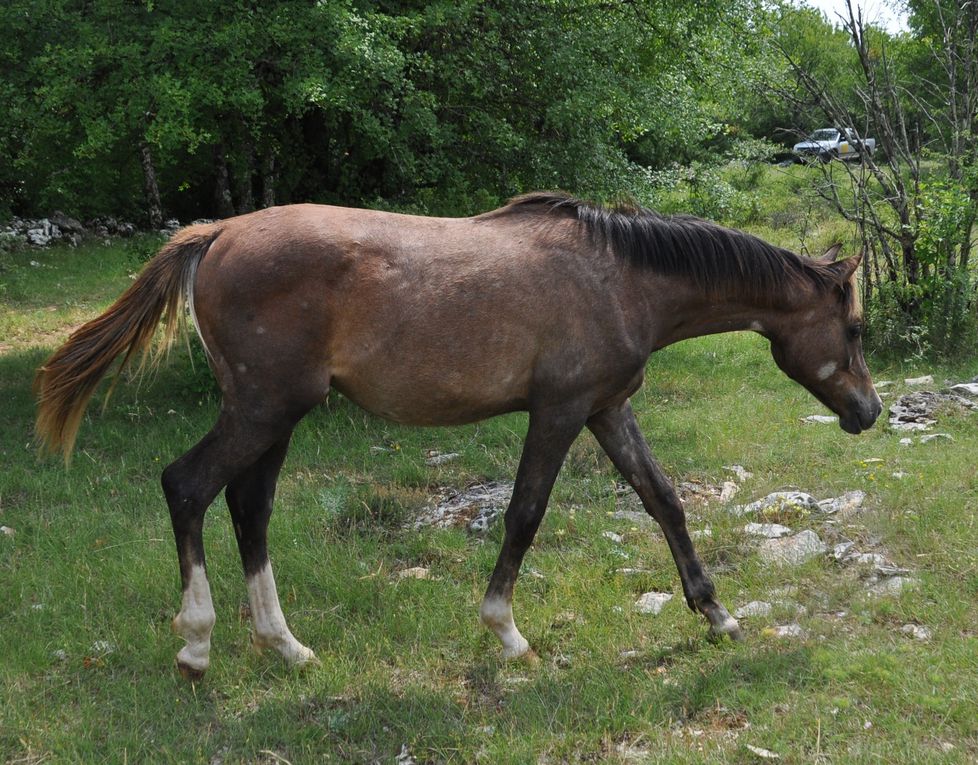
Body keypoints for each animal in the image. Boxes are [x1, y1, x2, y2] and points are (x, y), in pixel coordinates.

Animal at [34, 192, 880, 680]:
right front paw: (505, 631)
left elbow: (663, 500)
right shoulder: (560, 410)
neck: (620, 276)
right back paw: (198, 644)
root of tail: (218, 234)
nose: (868, 411)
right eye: (854, 328)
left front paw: (716, 613)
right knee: (187, 486)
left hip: (270, 415)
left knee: (248, 506)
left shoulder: (606, 408)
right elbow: (525, 513)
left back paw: (285, 644)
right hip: (264, 409)